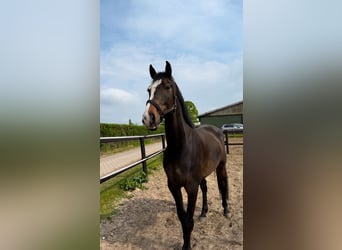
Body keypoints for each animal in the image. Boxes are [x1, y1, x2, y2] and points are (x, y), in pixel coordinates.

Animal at [142, 61, 230, 250]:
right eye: (148, 89)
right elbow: (182, 218)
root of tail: (217, 130)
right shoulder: (174, 186)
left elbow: (188, 221)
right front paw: (185, 244)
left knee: (223, 184)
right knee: (205, 188)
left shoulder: (191, 187)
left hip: (221, 167)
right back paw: (203, 212)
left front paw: (187, 246)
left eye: (168, 86)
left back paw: (226, 210)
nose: (148, 118)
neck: (181, 148)